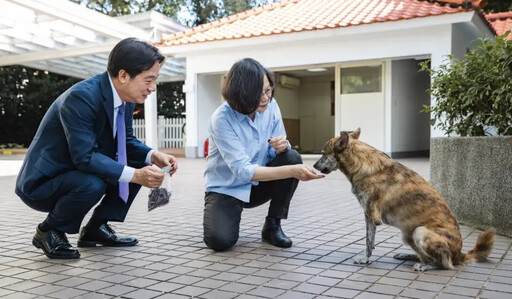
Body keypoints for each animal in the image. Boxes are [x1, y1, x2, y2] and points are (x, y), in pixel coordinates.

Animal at [314, 129, 494, 272]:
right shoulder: (369, 215)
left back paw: (425, 265)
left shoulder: (371, 215)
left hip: (420, 232)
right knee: (426, 256)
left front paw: (364, 259)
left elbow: (368, 241)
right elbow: (370, 240)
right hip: (408, 235)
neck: (362, 163)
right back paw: (408, 256)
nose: (314, 166)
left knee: (444, 263)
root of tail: (459, 254)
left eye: (323, 153)